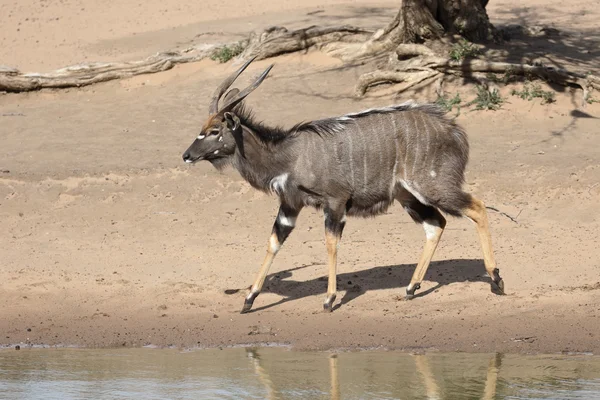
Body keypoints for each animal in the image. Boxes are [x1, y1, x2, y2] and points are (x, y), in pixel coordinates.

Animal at [183, 55, 506, 312]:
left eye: (214, 131)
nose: (186, 155)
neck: (289, 155)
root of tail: (455, 131)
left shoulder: (335, 201)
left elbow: (330, 243)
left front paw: (329, 299)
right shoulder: (290, 204)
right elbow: (274, 241)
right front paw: (249, 299)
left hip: (433, 187)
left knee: (477, 207)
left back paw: (496, 280)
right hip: (407, 196)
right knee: (436, 224)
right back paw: (411, 288)